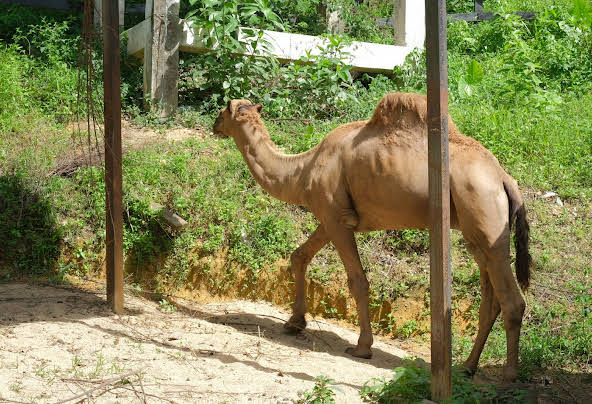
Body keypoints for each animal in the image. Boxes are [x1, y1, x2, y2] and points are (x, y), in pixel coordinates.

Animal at [213, 91, 532, 382]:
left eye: (224, 109)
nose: (214, 124)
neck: (303, 170)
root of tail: (505, 179)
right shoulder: (333, 218)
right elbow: (299, 255)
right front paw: (295, 322)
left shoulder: (335, 217)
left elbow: (358, 281)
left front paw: (362, 347)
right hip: (474, 230)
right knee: (490, 299)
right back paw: (467, 366)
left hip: (485, 214)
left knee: (512, 300)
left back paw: (509, 374)